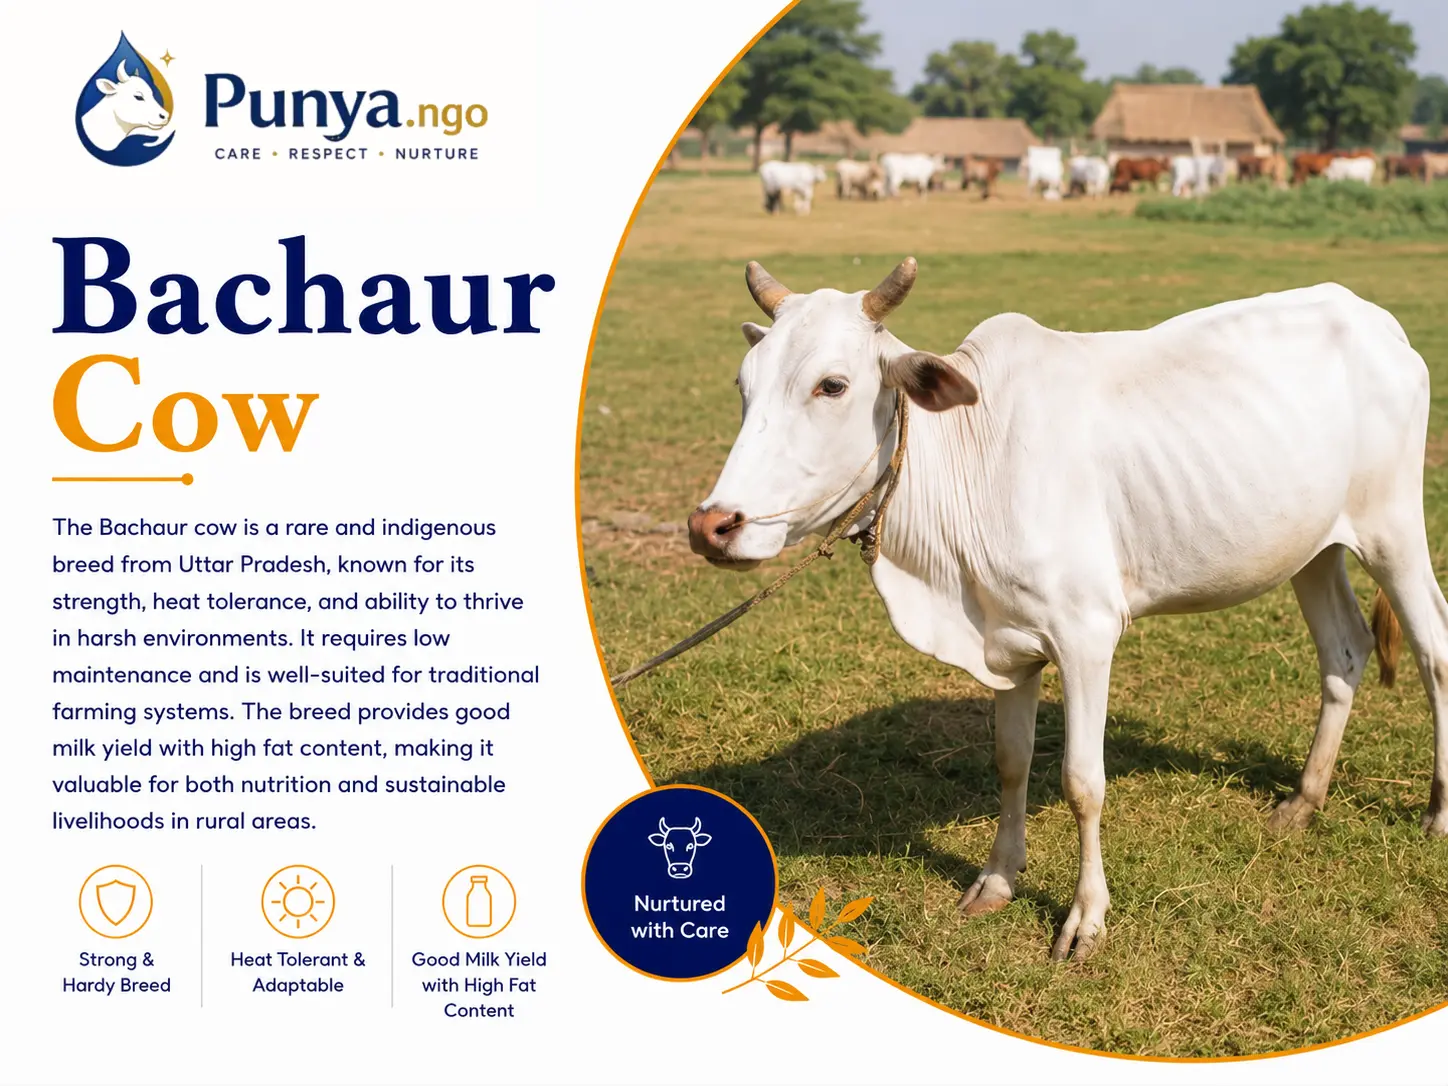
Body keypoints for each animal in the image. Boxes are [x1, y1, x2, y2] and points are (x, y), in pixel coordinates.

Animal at [687, 257, 1447, 962]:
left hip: (1393, 528)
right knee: (1344, 650)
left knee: (1434, 649)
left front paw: (1085, 920)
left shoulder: (1086, 634)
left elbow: (1083, 782)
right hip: (1311, 549)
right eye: (743, 385)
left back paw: (1437, 811)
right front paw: (997, 880)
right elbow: (1010, 759)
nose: (712, 525)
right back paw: (1304, 800)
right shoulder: (1006, 643)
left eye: (833, 385)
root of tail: (1375, 321)